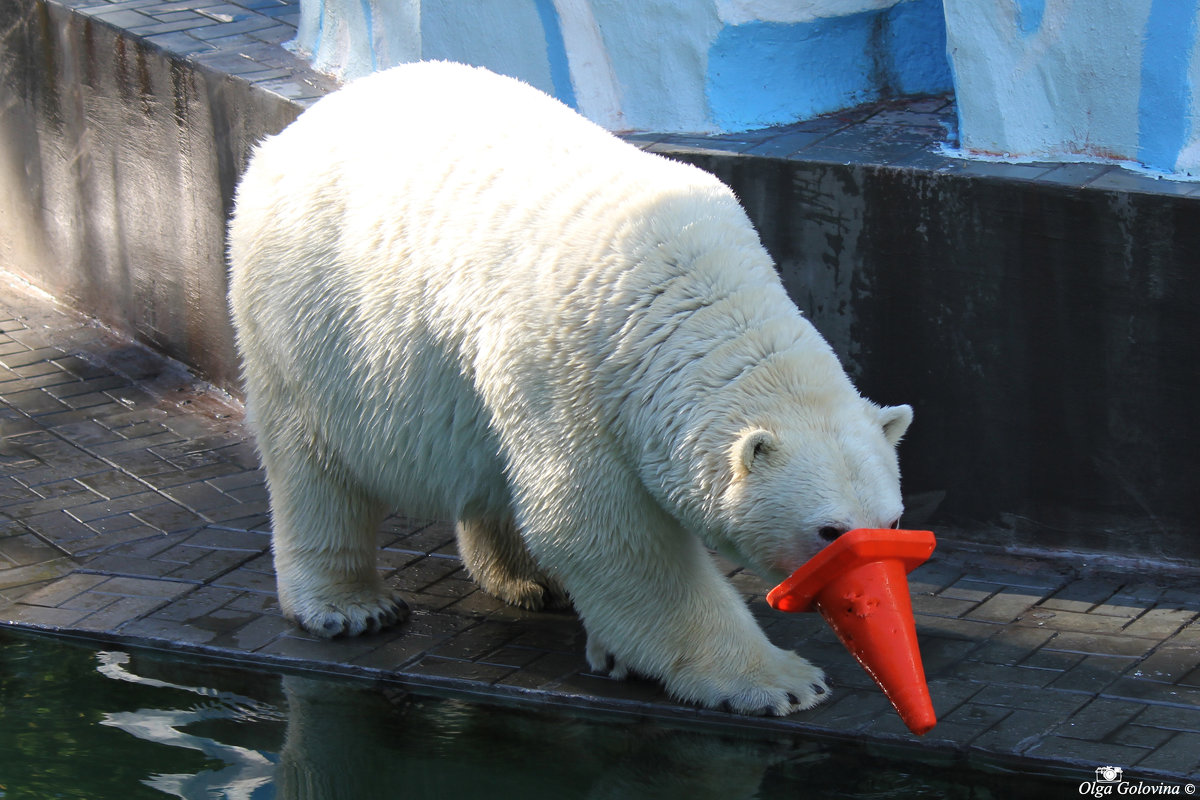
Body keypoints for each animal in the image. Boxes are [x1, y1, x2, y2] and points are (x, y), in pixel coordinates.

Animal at [229, 61, 912, 714]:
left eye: (893, 523)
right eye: (830, 533)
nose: (868, 606)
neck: (685, 294)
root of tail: (290, 131)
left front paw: (612, 651)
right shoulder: (572, 369)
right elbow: (597, 528)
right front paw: (782, 680)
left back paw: (527, 580)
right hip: (308, 314)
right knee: (312, 464)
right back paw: (351, 606)